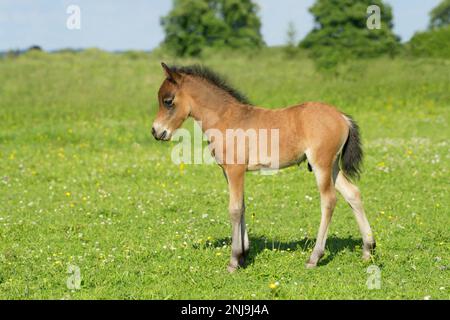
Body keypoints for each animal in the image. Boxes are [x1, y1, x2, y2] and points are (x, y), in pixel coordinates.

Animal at [152, 63, 376, 272]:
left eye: (168, 101)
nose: (156, 131)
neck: (226, 118)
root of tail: (342, 117)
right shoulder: (229, 172)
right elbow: (242, 206)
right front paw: (244, 255)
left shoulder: (235, 170)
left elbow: (234, 209)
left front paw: (234, 261)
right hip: (333, 167)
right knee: (353, 193)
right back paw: (368, 250)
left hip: (321, 165)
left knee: (329, 200)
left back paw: (314, 257)